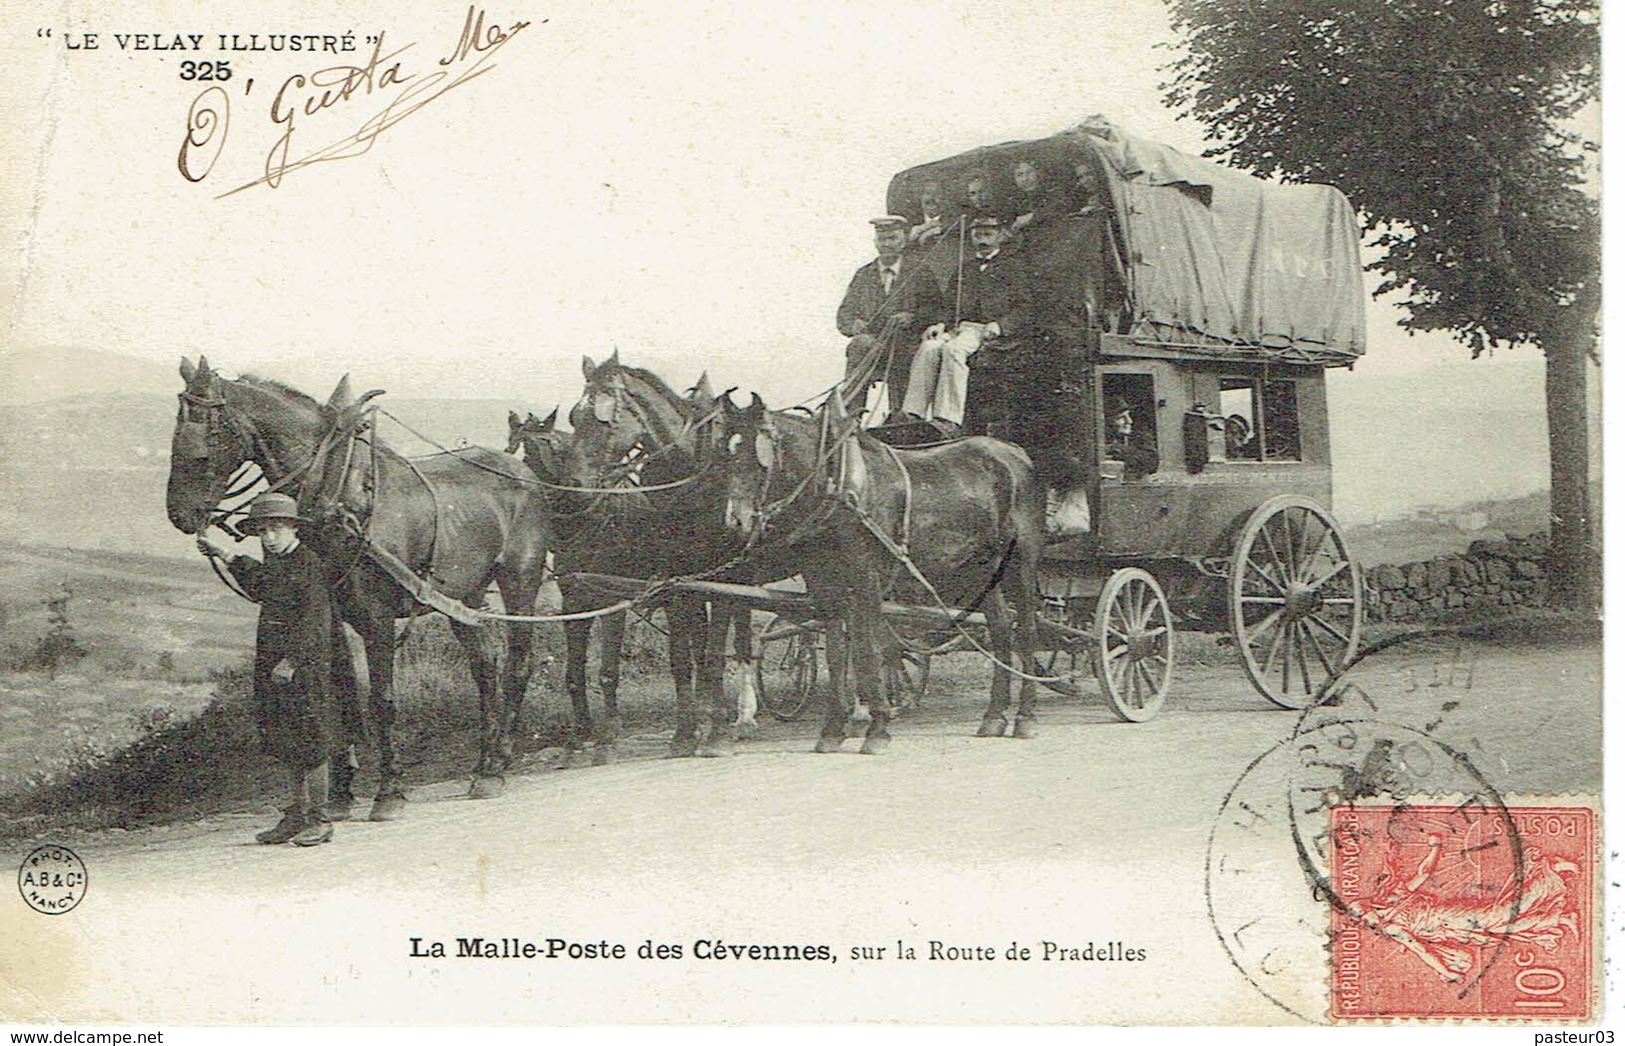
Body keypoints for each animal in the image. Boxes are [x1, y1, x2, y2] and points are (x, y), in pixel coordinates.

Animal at [168, 358, 552, 818]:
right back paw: (483, 763)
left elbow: (381, 700)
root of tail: (523, 473)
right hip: (464, 595)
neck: (338, 491)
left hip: (520, 579)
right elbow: (342, 694)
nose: (180, 514)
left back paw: (498, 764)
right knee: (485, 668)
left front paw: (389, 791)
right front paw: (340, 792)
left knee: (518, 664)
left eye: (205, 435)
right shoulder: (331, 613)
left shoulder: (377, 617)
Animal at [721, 393, 1040, 750]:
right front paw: (833, 729)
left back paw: (1025, 716)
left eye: (757, 454)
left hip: (1021, 559)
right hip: (978, 569)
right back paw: (994, 716)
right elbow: (836, 651)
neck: (841, 485)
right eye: (726, 453)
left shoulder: (867, 575)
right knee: (1000, 625)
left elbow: (867, 647)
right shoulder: (823, 582)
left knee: (1025, 629)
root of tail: (1013, 452)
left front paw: (876, 727)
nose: (735, 521)